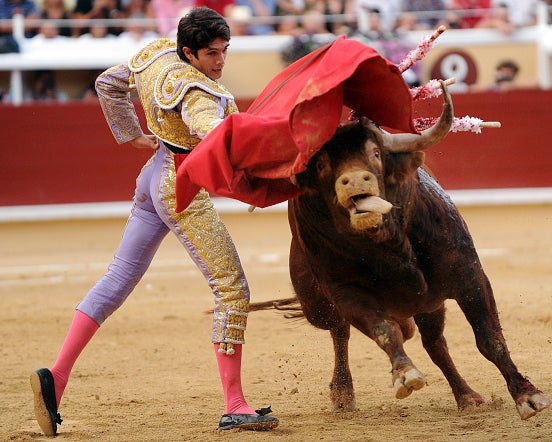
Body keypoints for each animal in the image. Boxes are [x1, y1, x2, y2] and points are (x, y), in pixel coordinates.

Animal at [266, 82, 548, 418]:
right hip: (318, 305)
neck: (390, 242)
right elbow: (384, 329)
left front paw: (527, 395)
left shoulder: (470, 276)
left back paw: (466, 396)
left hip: (429, 304)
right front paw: (404, 373)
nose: (354, 180)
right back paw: (343, 394)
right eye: (321, 165)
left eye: (376, 153)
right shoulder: (347, 293)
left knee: (435, 343)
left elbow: (489, 338)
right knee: (340, 331)